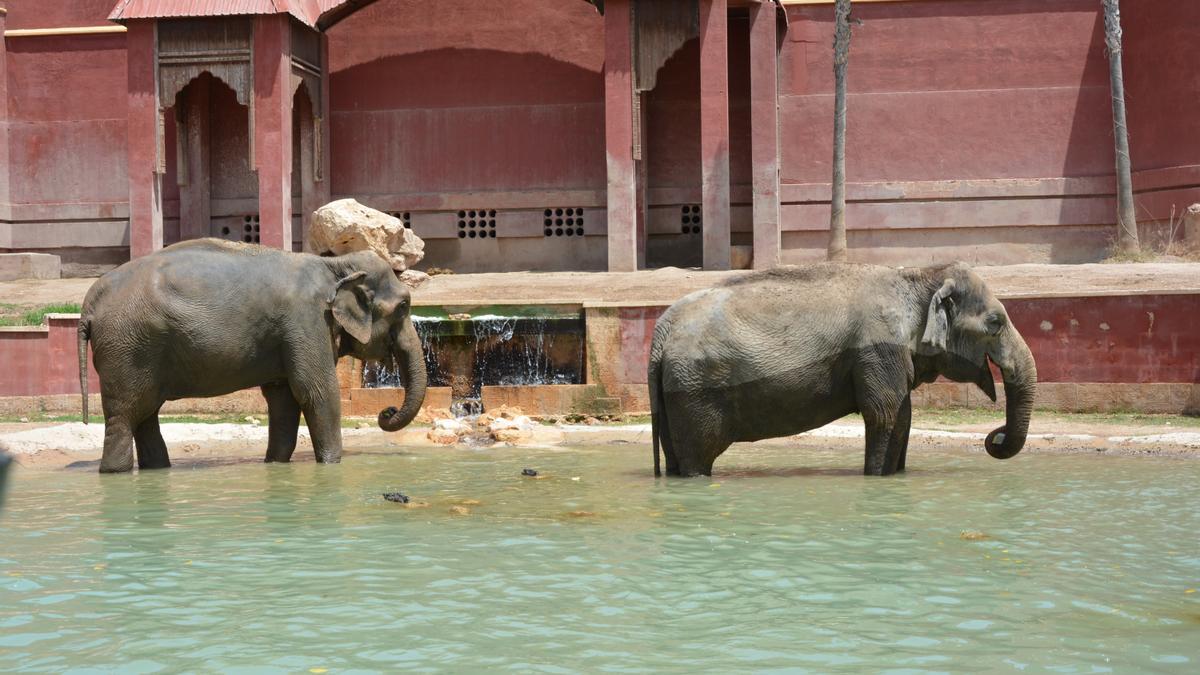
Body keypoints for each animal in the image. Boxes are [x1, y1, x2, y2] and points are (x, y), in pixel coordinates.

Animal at [76, 239, 427, 470]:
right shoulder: (306, 320)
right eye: (404, 306)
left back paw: (157, 470)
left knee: (145, 414)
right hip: (128, 348)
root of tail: (89, 303)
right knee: (125, 416)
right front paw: (330, 466)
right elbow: (316, 391)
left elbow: (283, 397)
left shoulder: (289, 333)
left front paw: (275, 465)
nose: (386, 411)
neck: (335, 265)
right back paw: (116, 473)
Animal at [652, 260, 1036, 475]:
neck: (919, 277)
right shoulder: (878, 351)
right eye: (995, 322)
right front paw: (877, 478)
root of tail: (661, 329)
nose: (995, 436)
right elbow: (884, 415)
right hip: (695, 391)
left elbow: (904, 418)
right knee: (698, 458)